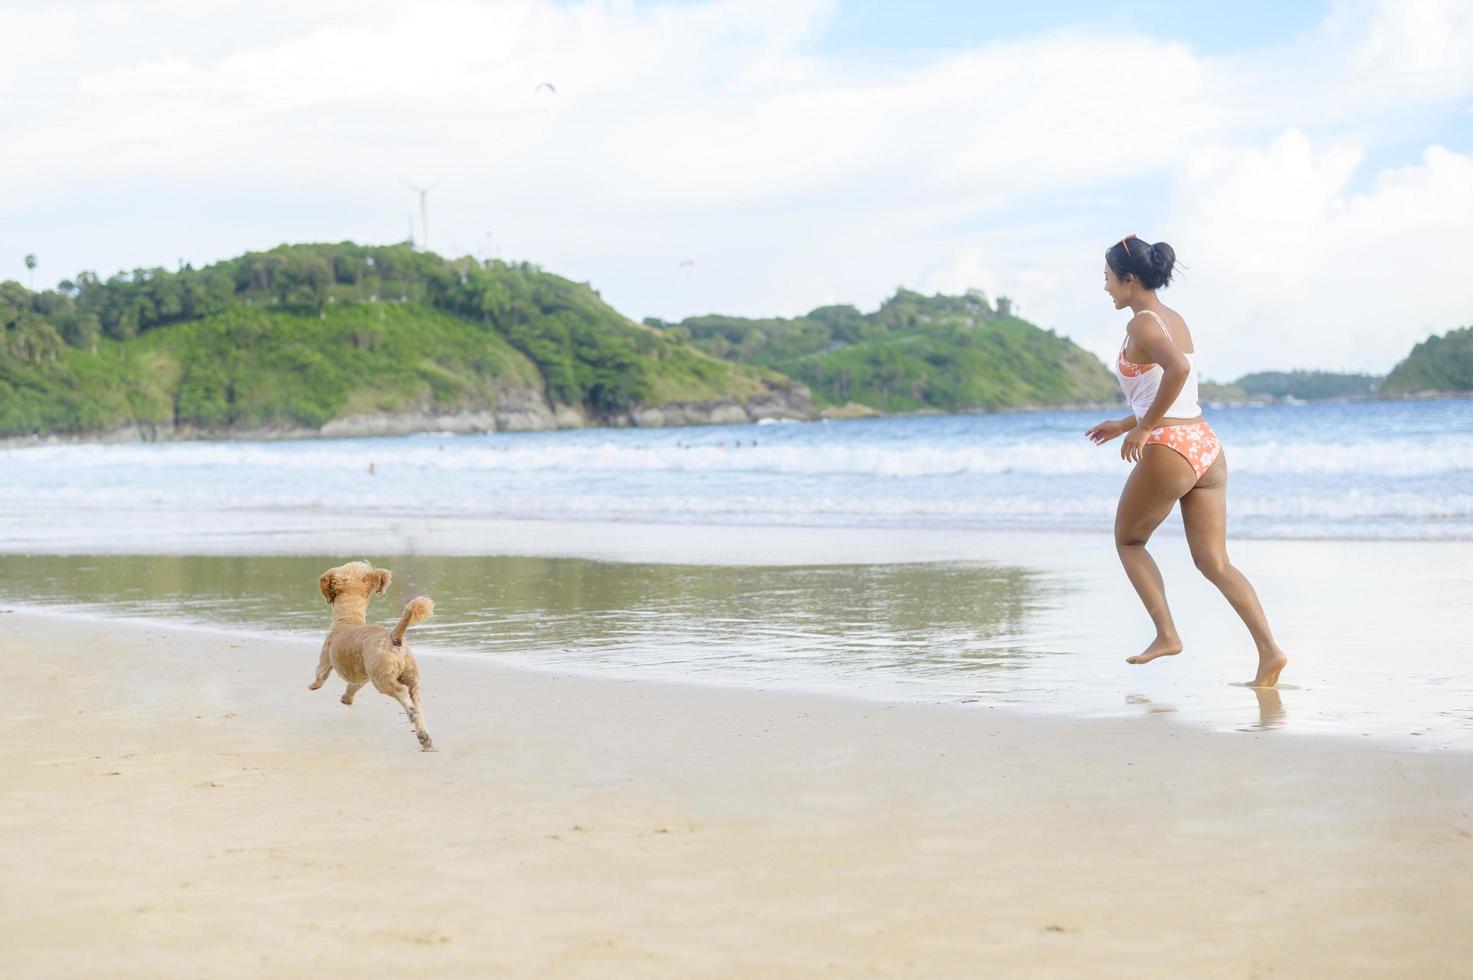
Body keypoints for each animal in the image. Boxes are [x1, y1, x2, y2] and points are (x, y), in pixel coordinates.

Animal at [306, 557, 430, 748]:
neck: (348, 619)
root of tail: (394, 636)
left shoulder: (325, 660)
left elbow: (320, 676)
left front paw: (312, 686)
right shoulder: (362, 676)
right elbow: (353, 686)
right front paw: (346, 698)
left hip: (382, 677)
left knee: (401, 691)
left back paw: (411, 713)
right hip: (411, 677)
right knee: (416, 699)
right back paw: (424, 736)